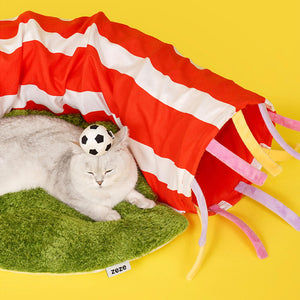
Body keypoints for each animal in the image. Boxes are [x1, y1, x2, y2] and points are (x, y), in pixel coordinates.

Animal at [0, 115, 156, 220]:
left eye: (109, 171)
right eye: (90, 173)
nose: (99, 182)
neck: (107, 193)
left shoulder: (125, 186)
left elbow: (132, 193)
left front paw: (147, 203)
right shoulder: (72, 197)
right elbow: (94, 208)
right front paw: (112, 215)